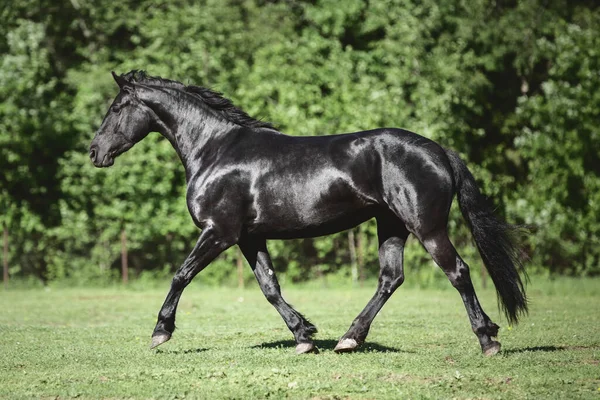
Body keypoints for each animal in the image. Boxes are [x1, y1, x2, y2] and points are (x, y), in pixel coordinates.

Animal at [89, 71, 524, 356]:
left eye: (117, 106)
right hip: (391, 225)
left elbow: (181, 275)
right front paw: (304, 337)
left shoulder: (219, 232)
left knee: (458, 272)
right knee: (390, 278)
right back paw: (349, 339)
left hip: (426, 226)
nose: (95, 152)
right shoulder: (249, 237)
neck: (214, 150)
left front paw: (160, 332)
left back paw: (488, 339)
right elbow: (269, 287)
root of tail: (439, 151)